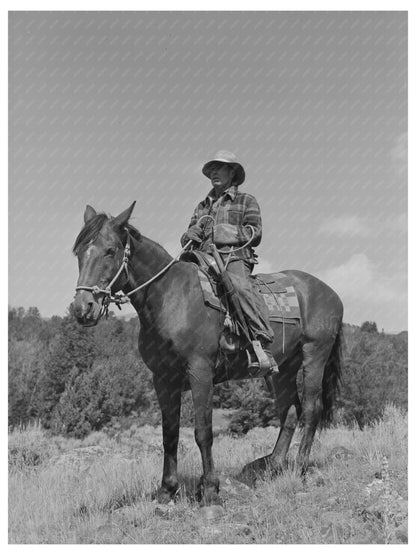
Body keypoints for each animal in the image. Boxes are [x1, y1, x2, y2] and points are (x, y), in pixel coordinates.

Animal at [73, 204, 342, 508]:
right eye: (79, 252)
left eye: (110, 250)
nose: (82, 308)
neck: (170, 297)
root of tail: (332, 293)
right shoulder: (163, 380)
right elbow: (169, 434)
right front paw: (166, 490)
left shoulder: (200, 372)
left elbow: (203, 432)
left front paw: (210, 488)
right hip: (282, 369)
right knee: (290, 410)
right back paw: (273, 465)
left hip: (314, 355)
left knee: (310, 408)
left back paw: (299, 466)